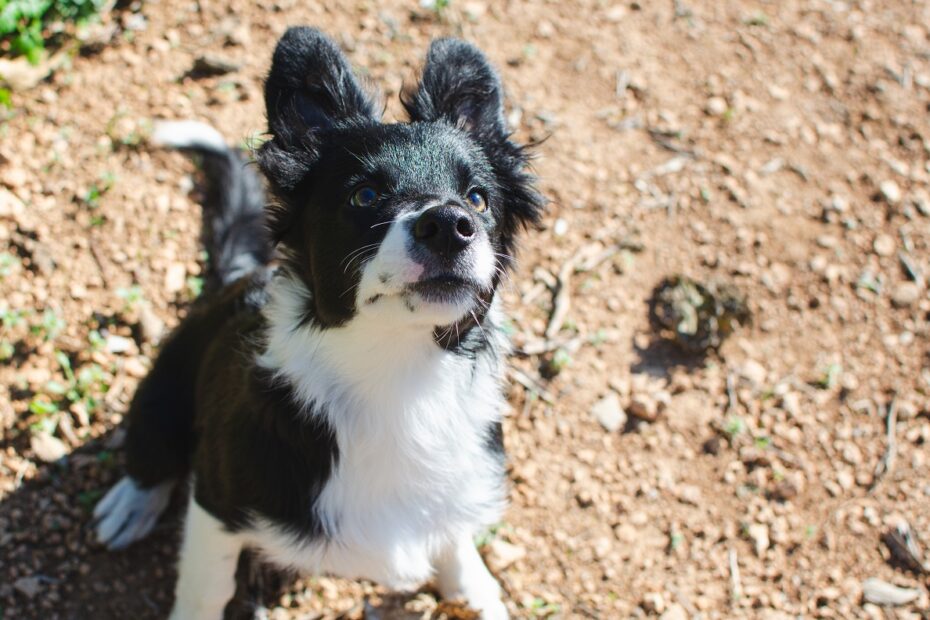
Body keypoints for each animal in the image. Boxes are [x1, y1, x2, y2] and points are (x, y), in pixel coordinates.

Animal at [90, 25, 540, 620]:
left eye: (478, 198)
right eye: (365, 195)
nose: (449, 224)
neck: (399, 380)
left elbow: (453, 536)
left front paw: (474, 583)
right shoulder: (217, 500)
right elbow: (206, 591)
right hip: (162, 391)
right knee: (151, 450)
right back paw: (131, 501)